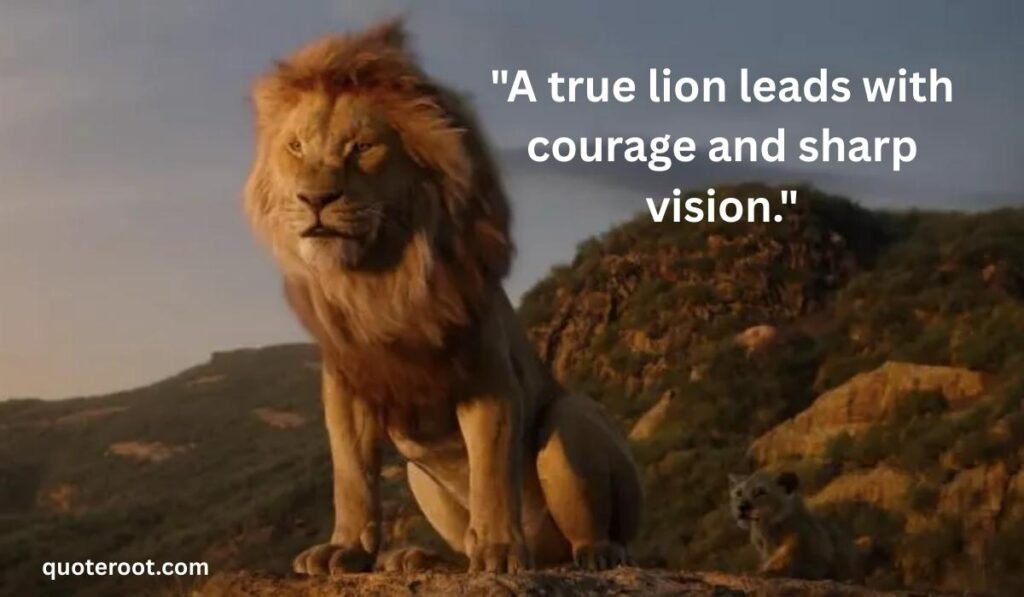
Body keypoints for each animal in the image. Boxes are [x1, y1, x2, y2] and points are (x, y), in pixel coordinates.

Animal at [243, 21, 643, 575]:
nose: (314, 199)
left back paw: (594, 553)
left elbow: (491, 472)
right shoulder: (347, 386)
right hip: (420, 477)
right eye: (297, 147)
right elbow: (352, 476)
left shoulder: (487, 375)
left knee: (595, 527)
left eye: (361, 146)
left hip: (573, 419)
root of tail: (547, 556)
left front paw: (499, 551)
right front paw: (345, 550)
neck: (378, 280)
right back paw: (421, 559)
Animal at [729, 471, 860, 581]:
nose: (741, 506)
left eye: (760, 492)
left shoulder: (817, 556)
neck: (766, 529)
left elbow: (789, 565)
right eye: (739, 493)